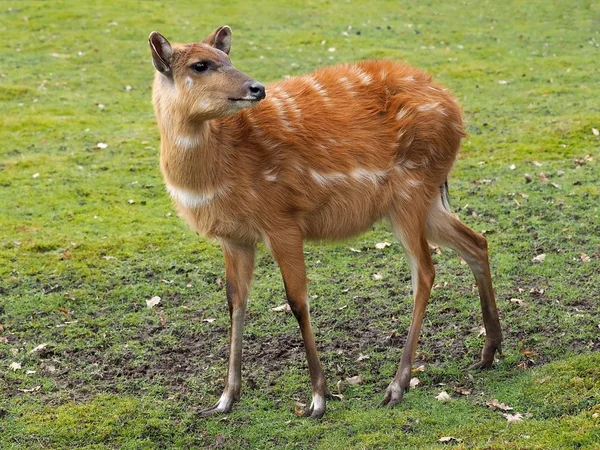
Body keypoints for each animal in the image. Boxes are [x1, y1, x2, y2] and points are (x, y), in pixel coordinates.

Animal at [149, 25, 502, 418]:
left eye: (227, 57)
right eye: (200, 64)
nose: (256, 88)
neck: (217, 171)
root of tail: (455, 109)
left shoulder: (282, 221)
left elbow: (297, 300)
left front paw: (318, 398)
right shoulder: (235, 237)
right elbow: (235, 302)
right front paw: (224, 400)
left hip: (410, 193)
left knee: (425, 271)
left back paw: (396, 386)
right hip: (424, 202)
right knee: (476, 241)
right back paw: (489, 352)